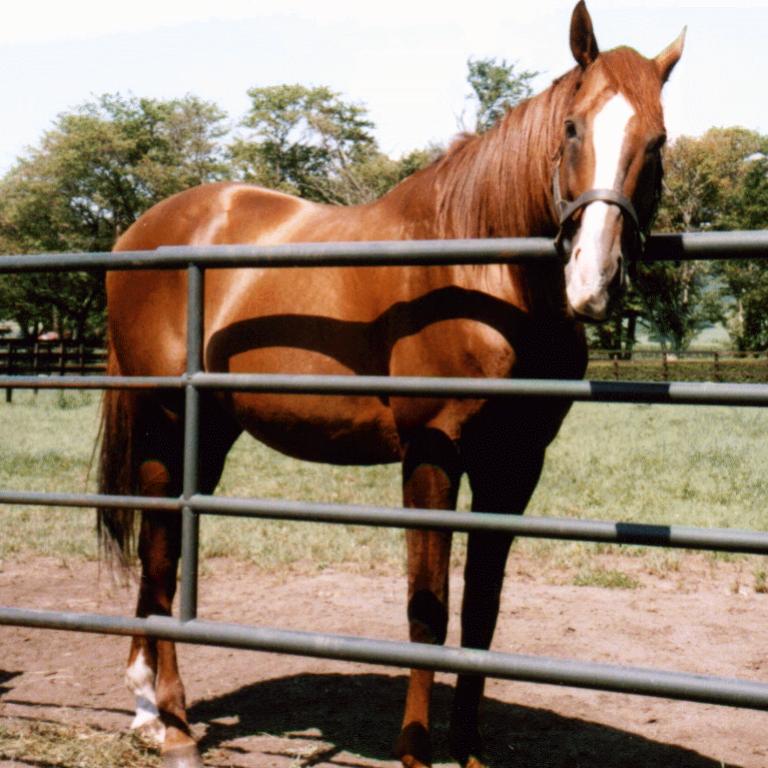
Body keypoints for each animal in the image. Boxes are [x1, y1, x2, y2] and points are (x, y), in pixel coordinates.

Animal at [97, 3, 684, 764]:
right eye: (573, 127)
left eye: (658, 142)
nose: (594, 280)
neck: (479, 275)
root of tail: (139, 232)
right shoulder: (430, 456)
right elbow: (427, 612)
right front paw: (415, 750)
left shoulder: (513, 467)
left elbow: (482, 613)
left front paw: (468, 749)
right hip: (165, 419)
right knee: (162, 547)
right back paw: (171, 724)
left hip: (209, 432)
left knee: (158, 548)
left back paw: (148, 708)